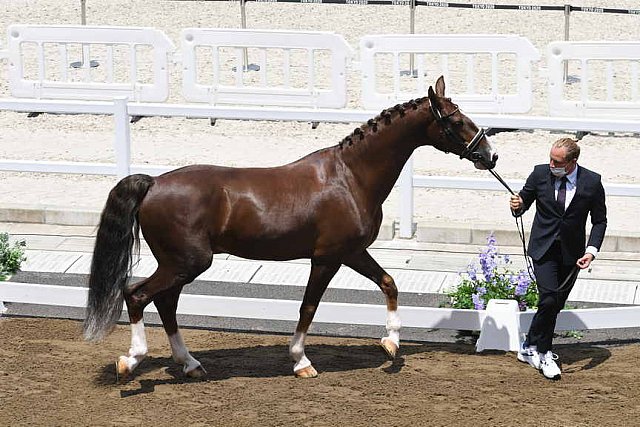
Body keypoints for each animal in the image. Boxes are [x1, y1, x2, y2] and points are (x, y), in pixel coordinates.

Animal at [82, 75, 498, 380]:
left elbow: (389, 283)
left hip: (180, 265)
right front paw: (301, 361)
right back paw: (131, 360)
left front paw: (391, 343)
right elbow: (308, 307)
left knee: (164, 303)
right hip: (186, 263)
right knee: (137, 295)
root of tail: (153, 182)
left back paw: (191, 364)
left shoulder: (352, 252)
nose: (490, 154)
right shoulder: (327, 258)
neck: (350, 177)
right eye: (455, 119)